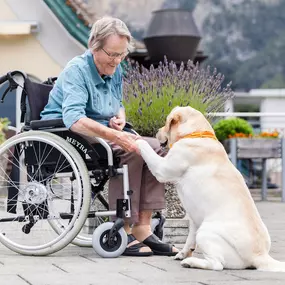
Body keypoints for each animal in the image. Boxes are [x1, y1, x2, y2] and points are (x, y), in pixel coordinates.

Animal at [135, 106, 284, 270]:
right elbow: (189, 239)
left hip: (206, 232)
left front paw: (136, 138)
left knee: (216, 264)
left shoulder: (162, 169)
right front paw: (183, 253)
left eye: (166, 122)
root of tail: (259, 255)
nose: (156, 131)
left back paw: (191, 262)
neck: (196, 134)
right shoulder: (194, 219)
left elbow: (147, 149)